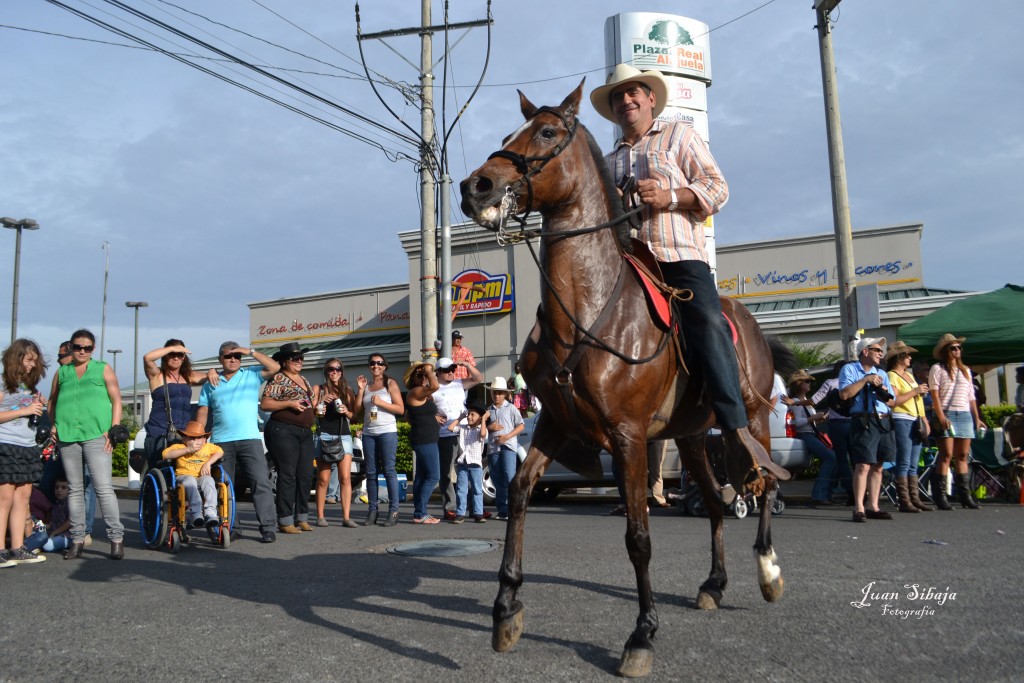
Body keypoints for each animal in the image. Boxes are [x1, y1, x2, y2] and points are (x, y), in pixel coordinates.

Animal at [460, 83, 794, 679]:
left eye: (547, 132)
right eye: (506, 135)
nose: (476, 186)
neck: (588, 308)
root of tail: (754, 326)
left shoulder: (629, 437)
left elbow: (639, 536)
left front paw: (642, 635)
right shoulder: (556, 424)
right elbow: (519, 494)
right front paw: (506, 609)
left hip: (748, 421)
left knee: (764, 484)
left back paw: (768, 572)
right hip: (691, 437)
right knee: (714, 503)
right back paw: (714, 583)